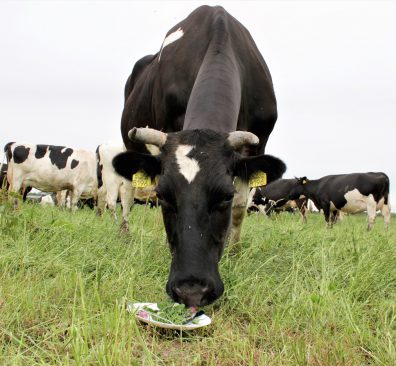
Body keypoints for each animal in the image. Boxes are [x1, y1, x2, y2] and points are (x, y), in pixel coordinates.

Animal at [113, 6, 286, 308]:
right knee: (126, 192)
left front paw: (234, 253)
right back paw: (126, 232)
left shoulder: (259, 144)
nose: (191, 291)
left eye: (225, 196)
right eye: (163, 196)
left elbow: (241, 207)